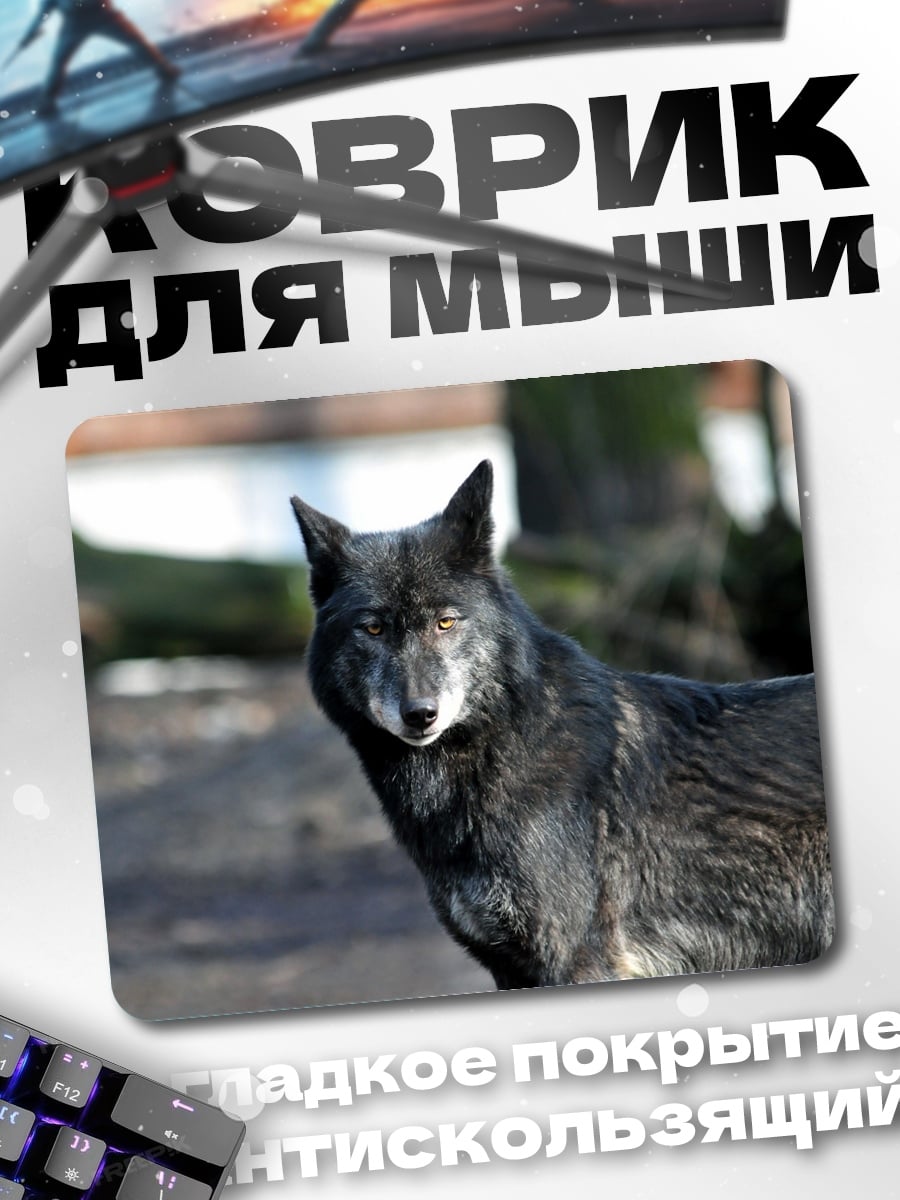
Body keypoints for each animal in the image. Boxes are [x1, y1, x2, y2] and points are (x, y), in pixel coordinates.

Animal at [290, 460, 833, 990]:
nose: (420, 712)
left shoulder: (577, 961)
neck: (498, 747)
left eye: (446, 622)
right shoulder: (510, 968)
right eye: (373, 628)